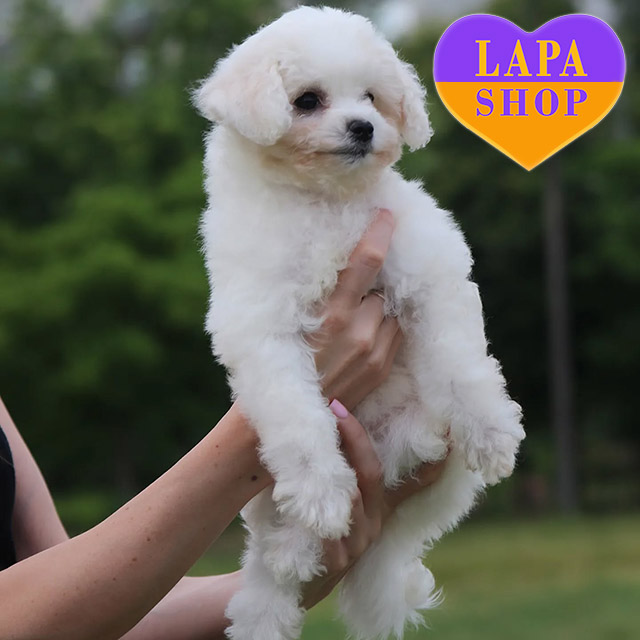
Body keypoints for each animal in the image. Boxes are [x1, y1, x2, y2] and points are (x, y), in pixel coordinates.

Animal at [194, 6, 525, 639]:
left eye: (371, 98)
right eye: (307, 100)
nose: (363, 128)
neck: (326, 202)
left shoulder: (427, 270)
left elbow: (459, 359)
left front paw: (492, 431)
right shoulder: (264, 327)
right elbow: (298, 419)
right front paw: (320, 490)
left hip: (415, 452)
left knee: (412, 445)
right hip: (263, 494)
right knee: (266, 563)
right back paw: (290, 557)